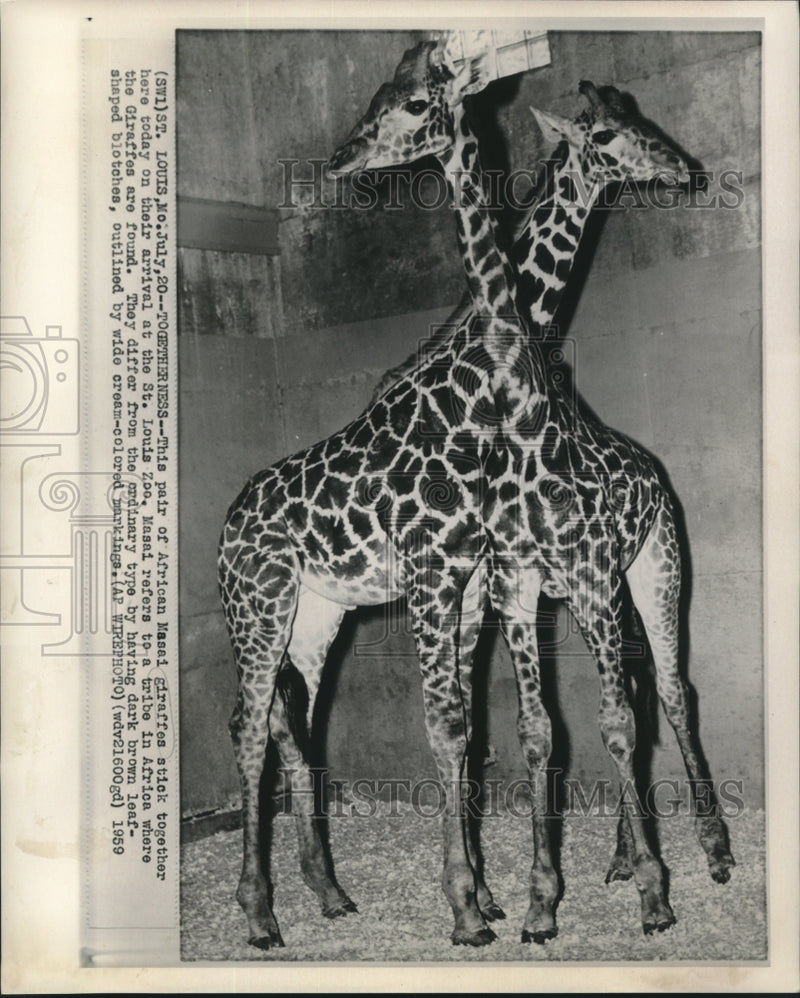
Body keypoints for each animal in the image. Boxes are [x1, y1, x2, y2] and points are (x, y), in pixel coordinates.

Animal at [220, 40, 539, 949]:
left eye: (414, 103)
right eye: (377, 96)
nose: (343, 157)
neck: (476, 408)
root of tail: (227, 527)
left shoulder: (469, 583)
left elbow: (467, 729)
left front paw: (484, 897)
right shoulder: (431, 578)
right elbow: (442, 727)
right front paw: (465, 909)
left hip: (315, 615)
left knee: (291, 721)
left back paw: (328, 893)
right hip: (258, 606)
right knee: (249, 724)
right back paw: (260, 914)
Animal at [328, 42, 734, 943]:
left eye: (410, 101)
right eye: (612, 133)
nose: (682, 167)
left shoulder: (552, 581)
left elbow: (584, 723)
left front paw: (633, 889)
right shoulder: (509, 585)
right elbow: (534, 729)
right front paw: (534, 896)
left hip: (649, 573)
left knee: (666, 692)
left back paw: (709, 852)